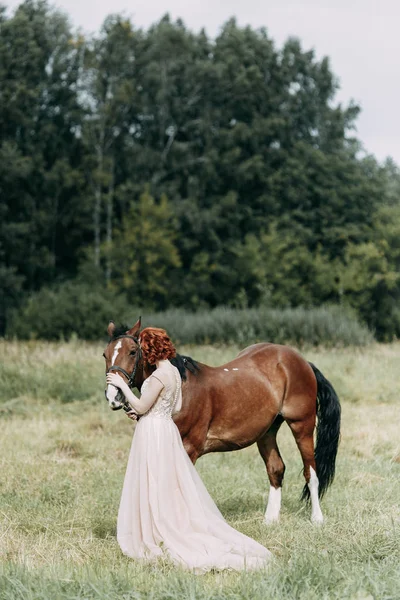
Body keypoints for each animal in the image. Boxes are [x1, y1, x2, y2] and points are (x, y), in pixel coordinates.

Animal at [103, 316, 340, 524]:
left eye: (133, 352)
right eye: (105, 355)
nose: (113, 395)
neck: (181, 388)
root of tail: (302, 361)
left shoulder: (189, 448)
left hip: (302, 425)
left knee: (311, 472)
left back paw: (317, 519)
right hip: (267, 431)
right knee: (276, 469)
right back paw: (270, 520)